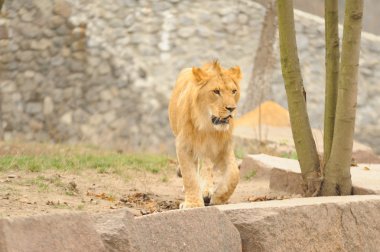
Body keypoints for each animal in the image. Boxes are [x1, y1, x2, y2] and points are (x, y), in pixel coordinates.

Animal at [168, 61, 242, 209]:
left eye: (233, 91)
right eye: (216, 91)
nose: (232, 108)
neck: (208, 128)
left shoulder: (224, 147)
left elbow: (234, 174)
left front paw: (218, 198)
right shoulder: (183, 145)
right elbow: (189, 176)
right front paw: (193, 203)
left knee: (207, 166)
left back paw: (207, 190)